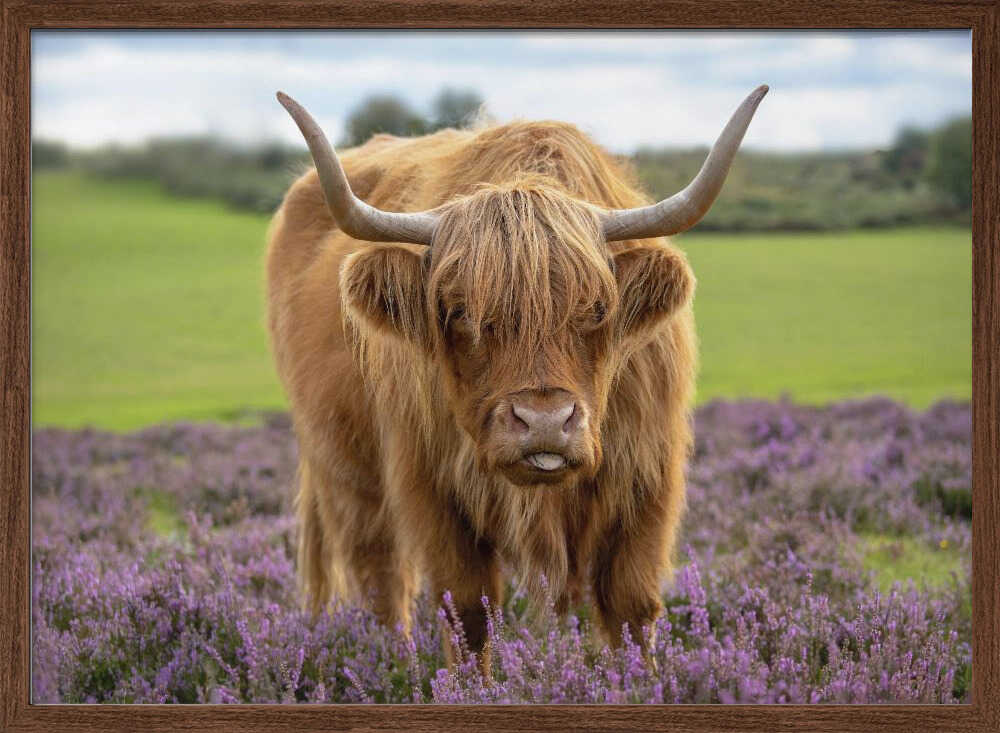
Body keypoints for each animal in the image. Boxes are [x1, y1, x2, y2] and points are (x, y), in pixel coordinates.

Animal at [267, 86, 767, 664]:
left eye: (598, 309)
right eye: (460, 311)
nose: (545, 423)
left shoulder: (646, 476)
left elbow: (631, 606)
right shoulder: (433, 484)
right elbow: (466, 610)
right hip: (346, 469)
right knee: (380, 577)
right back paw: (394, 660)